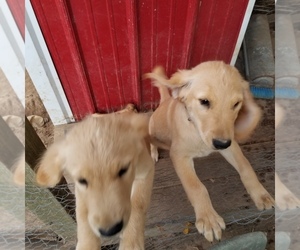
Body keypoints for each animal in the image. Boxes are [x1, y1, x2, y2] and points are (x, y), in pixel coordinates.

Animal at [35, 106, 155, 250]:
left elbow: (138, 203)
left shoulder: (145, 171)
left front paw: (131, 242)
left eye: (123, 170)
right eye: (82, 180)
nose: (110, 231)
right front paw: (87, 244)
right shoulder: (79, 189)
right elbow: (81, 213)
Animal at [145, 61, 274, 243]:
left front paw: (261, 195)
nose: (220, 144)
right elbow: (196, 186)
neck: (196, 129)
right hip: (153, 127)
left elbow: (246, 167)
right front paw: (208, 218)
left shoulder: (231, 144)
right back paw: (153, 151)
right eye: (204, 101)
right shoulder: (179, 155)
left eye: (236, 104)